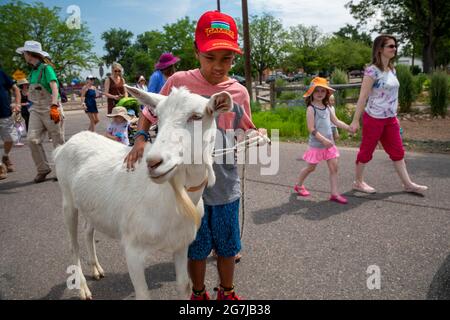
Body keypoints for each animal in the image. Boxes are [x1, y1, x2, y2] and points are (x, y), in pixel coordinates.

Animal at [53, 86, 232, 298]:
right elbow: (143, 294)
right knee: (73, 245)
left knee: (88, 229)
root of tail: (65, 145)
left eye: (197, 116)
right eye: (158, 116)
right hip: (67, 201)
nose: (153, 162)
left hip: (90, 204)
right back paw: (82, 288)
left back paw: (96, 269)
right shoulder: (133, 248)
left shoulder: (181, 244)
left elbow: (183, 285)